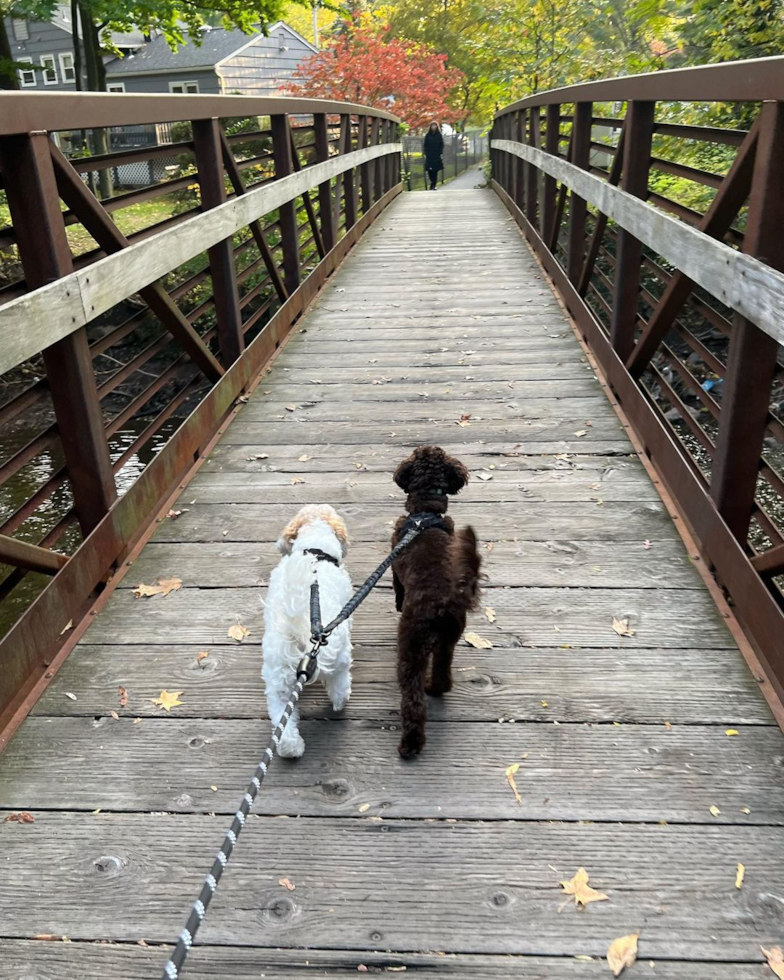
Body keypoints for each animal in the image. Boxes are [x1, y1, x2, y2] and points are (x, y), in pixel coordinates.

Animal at [262, 506, 354, 756]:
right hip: (339, 656)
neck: (314, 547)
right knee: (339, 683)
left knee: (282, 722)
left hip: (278, 684)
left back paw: (291, 749)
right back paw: (341, 701)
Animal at [388, 444, 480, 756]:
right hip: (449, 638)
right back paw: (434, 687)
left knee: (413, 699)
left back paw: (410, 745)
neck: (425, 513)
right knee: (443, 672)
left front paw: (397, 602)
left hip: (412, 644)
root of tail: (446, 601)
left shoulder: (394, 560)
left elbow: (396, 587)